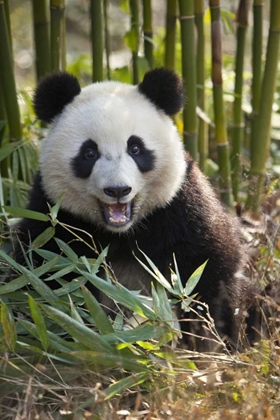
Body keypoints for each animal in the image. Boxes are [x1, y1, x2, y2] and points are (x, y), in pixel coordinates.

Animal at [14, 69, 247, 352]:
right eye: (89, 152)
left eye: (135, 148)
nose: (117, 190)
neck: (122, 232)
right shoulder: (54, 217)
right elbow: (45, 277)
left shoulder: (181, 209)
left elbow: (209, 270)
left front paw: (205, 339)